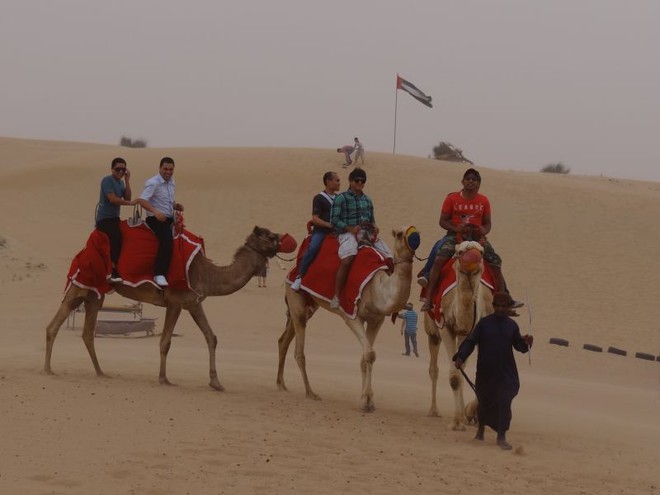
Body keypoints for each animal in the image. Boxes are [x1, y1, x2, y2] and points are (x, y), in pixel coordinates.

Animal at [45, 225, 292, 392]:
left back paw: (100, 372)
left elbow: (211, 337)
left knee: (87, 332)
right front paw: (164, 379)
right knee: (54, 324)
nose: (289, 239)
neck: (208, 274)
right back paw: (48, 369)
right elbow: (165, 341)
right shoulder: (176, 301)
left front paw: (216, 382)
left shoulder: (193, 303)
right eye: (270, 235)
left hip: (95, 294)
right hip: (81, 284)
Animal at [276, 227, 416, 412]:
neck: (376, 288)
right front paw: (366, 400)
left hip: (307, 306)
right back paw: (310, 392)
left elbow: (366, 356)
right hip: (295, 296)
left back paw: (281, 384)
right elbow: (369, 354)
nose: (414, 239)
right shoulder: (351, 315)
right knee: (299, 351)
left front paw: (367, 401)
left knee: (284, 340)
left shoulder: (376, 320)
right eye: (400, 234)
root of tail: (293, 268)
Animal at [426, 240, 492, 430]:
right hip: (431, 330)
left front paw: (470, 413)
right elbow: (455, 376)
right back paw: (434, 410)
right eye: (460, 251)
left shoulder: (472, 332)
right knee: (434, 368)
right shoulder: (445, 327)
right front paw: (456, 422)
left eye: (481, 252)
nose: (473, 257)